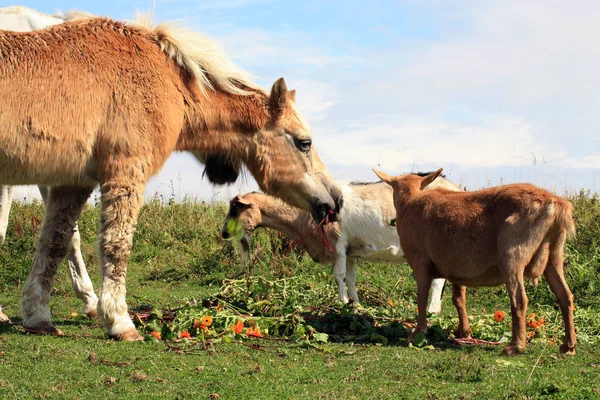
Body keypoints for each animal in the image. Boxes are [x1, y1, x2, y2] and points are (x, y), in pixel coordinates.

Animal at [376, 169, 576, 356]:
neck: (409, 203)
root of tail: (557, 206)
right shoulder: (456, 268)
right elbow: (458, 299)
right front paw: (463, 332)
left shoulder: (421, 262)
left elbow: (422, 297)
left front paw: (417, 333)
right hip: (554, 255)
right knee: (565, 295)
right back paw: (568, 345)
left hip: (513, 254)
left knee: (519, 299)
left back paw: (515, 347)